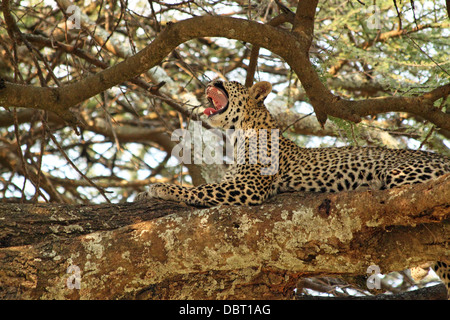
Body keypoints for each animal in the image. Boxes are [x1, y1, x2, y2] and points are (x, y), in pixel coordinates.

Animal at [137, 79, 450, 298]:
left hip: (399, 175)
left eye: (225, 82)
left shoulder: (249, 186)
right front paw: (144, 193)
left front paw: (161, 188)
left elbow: (200, 189)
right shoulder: (238, 181)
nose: (211, 81)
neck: (241, 132)